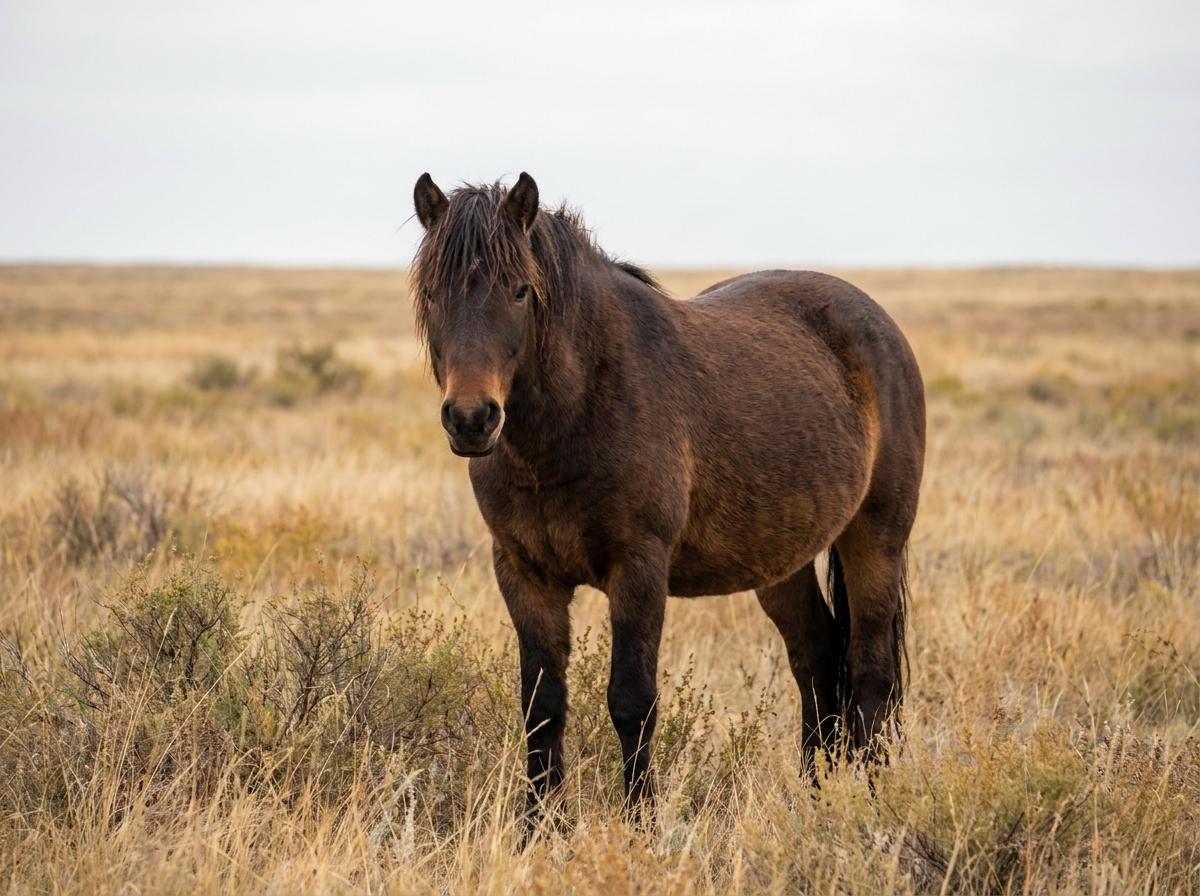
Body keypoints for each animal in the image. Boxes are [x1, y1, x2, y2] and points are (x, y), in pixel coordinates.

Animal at [409, 172, 925, 820]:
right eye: (432, 294)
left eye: (522, 291)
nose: (472, 419)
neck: (575, 416)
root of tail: (877, 323)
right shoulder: (524, 573)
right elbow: (542, 707)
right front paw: (539, 827)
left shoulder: (639, 567)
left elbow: (632, 701)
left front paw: (639, 823)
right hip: (781, 561)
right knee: (817, 659)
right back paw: (812, 799)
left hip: (876, 539)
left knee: (870, 671)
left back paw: (875, 802)